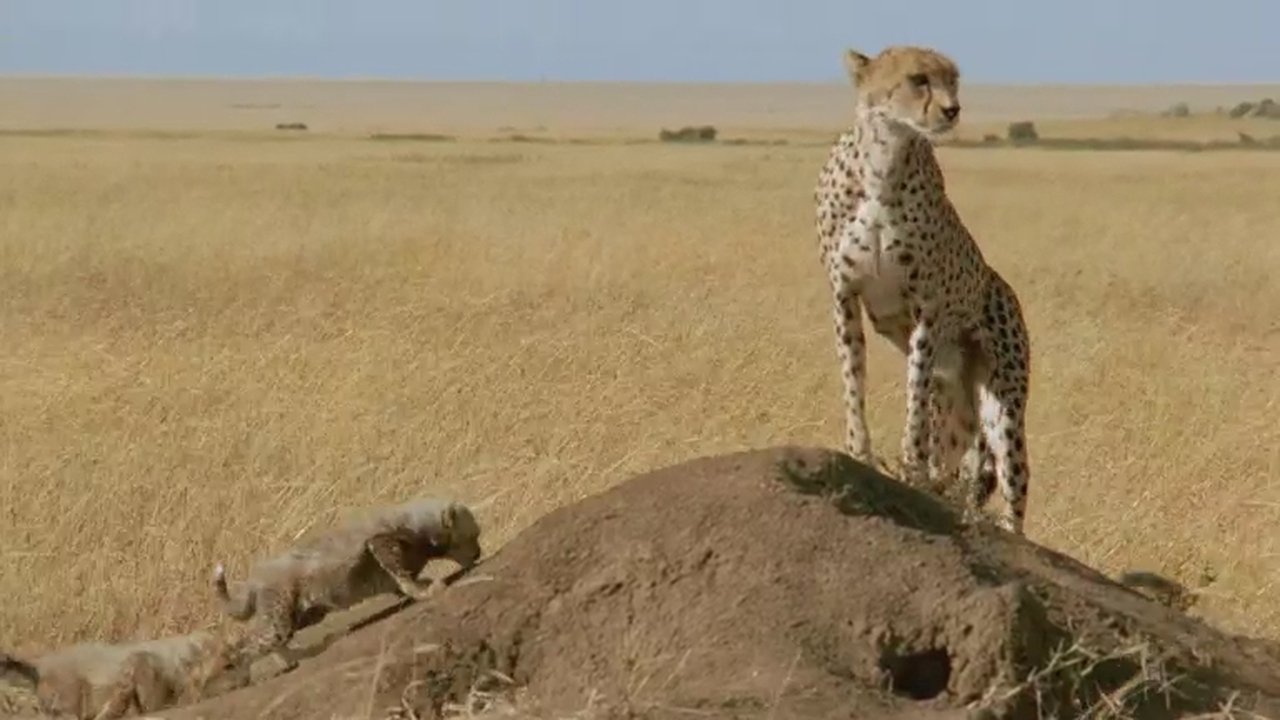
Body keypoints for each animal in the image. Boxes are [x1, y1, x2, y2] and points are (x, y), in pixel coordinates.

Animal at [212, 497, 483, 661]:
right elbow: (399, 573)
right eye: (473, 535)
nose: (479, 553)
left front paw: (415, 591)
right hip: (278, 616)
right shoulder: (379, 541)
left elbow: (400, 581)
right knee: (244, 649)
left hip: (303, 614)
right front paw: (426, 591)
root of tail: (255, 578)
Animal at [813, 45, 1033, 534]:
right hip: (956, 407)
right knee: (959, 465)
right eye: (918, 80)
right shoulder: (844, 295)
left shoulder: (926, 308)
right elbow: (852, 380)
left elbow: (913, 390)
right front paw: (859, 452)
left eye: (953, 80)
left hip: (1002, 405)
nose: (953, 109)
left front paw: (910, 464)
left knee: (1012, 482)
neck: (884, 161)